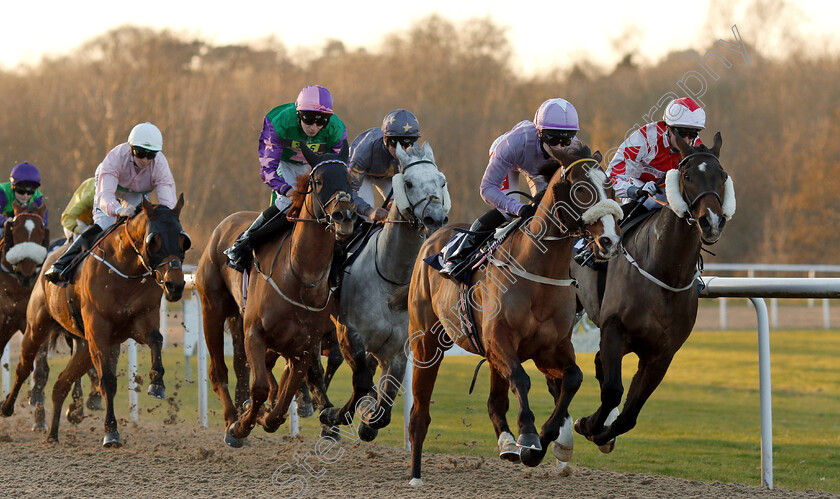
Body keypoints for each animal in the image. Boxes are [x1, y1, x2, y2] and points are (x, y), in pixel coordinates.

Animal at [0, 194, 189, 446]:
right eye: (154, 240)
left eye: (182, 240)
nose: (175, 285)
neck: (124, 270)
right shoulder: (98, 331)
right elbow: (107, 381)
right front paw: (111, 431)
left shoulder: (140, 321)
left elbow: (156, 339)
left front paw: (157, 382)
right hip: (37, 326)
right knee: (24, 367)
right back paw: (7, 407)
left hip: (83, 347)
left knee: (61, 383)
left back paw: (53, 433)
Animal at [195, 145, 356, 450]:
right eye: (319, 181)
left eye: (351, 181)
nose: (345, 216)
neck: (300, 277)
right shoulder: (255, 333)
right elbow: (259, 387)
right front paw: (240, 426)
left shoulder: (304, 347)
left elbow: (283, 399)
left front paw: (264, 415)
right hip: (212, 308)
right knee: (218, 371)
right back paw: (231, 417)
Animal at [400, 146, 624, 486]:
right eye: (580, 189)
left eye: (610, 188)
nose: (610, 240)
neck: (538, 274)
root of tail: (433, 237)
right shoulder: (499, 339)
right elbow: (521, 378)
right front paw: (529, 435)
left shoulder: (551, 348)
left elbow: (573, 378)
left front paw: (543, 442)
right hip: (427, 343)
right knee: (420, 414)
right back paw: (415, 476)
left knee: (496, 401)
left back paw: (507, 442)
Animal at [572, 133, 736, 454]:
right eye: (687, 175)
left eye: (722, 176)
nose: (711, 221)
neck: (664, 272)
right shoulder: (614, 329)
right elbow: (613, 390)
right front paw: (587, 424)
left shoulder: (662, 353)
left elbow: (629, 414)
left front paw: (603, 433)